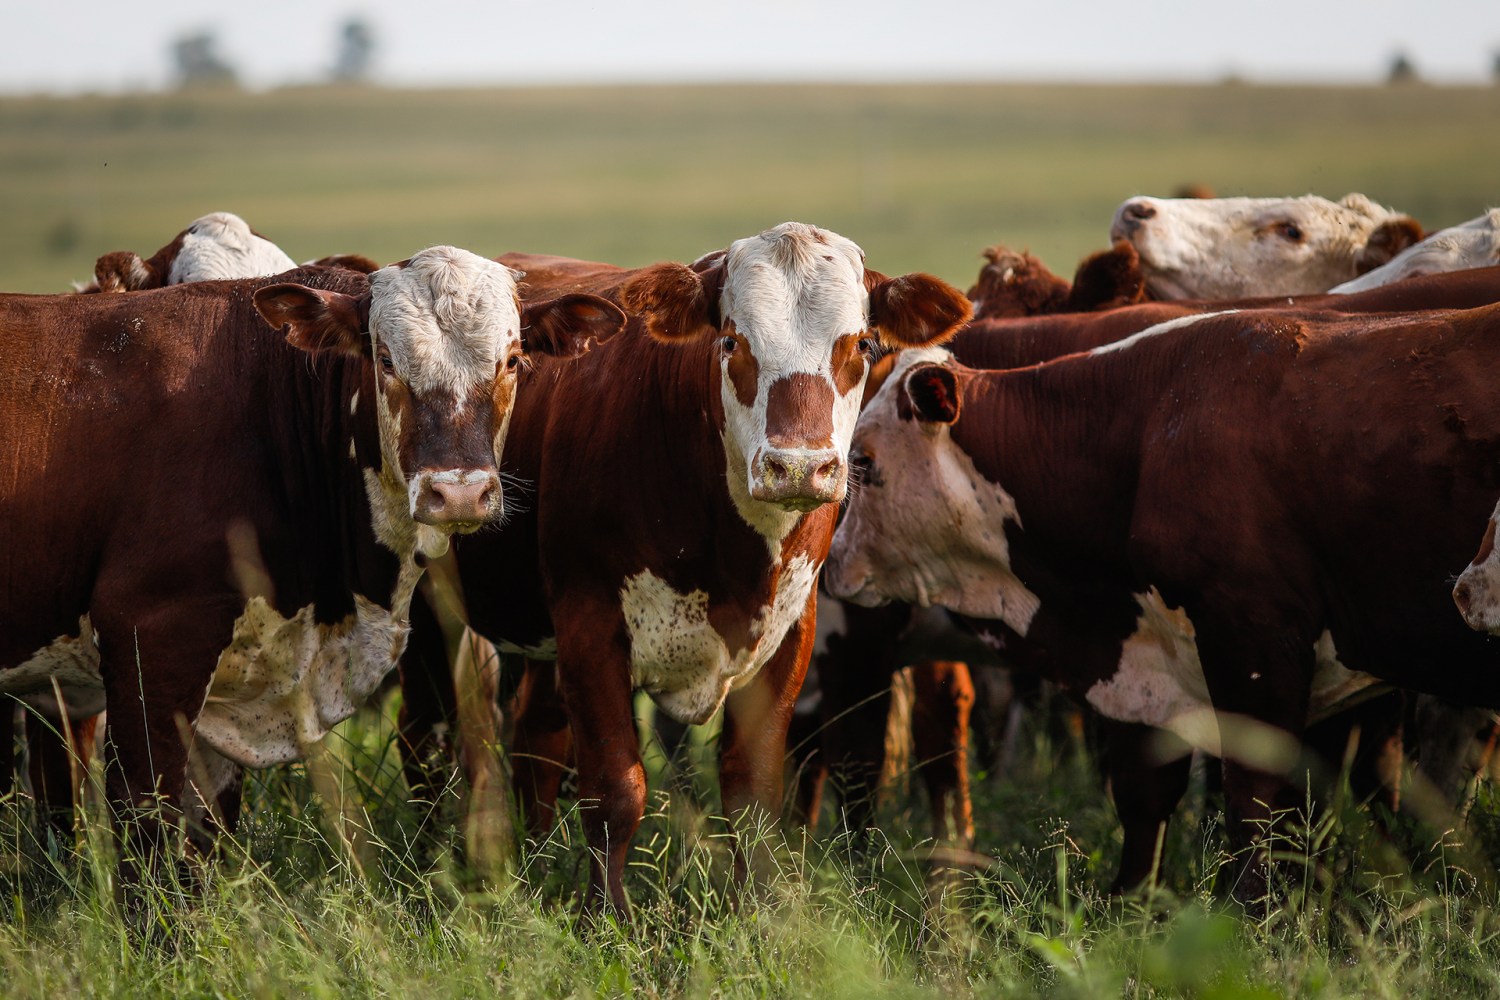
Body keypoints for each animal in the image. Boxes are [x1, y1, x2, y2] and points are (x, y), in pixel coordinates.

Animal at [0, 250, 621, 881]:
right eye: (386, 359)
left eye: (513, 360)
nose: (460, 493)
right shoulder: (150, 640)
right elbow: (145, 822)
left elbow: (204, 838)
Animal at [393, 220, 966, 917]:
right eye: (732, 341)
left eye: (861, 343)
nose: (799, 468)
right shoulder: (592, 628)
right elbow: (616, 790)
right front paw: (605, 918)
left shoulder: (788, 637)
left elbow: (752, 794)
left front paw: (759, 915)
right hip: (430, 614)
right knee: (423, 742)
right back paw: (425, 867)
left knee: (536, 740)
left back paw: (533, 864)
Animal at [828, 302, 1500, 899]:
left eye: (863, 460)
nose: (831, 564)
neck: (1145, 430)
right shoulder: (1153, 661)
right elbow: (1147, 794)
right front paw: (1134, 904)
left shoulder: (1255, 645)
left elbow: (1255, 802)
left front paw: (1254, 914)